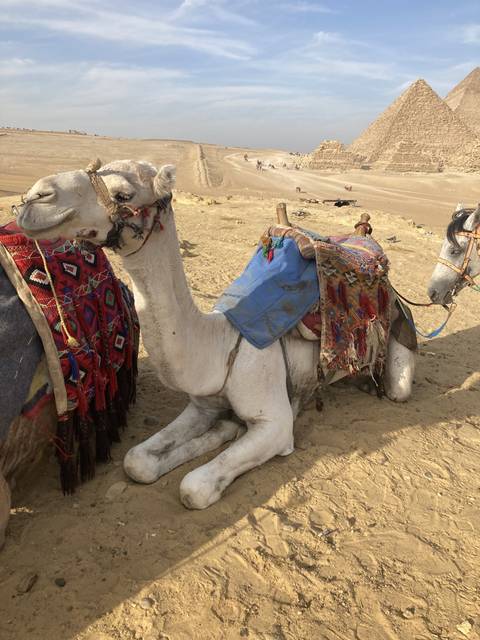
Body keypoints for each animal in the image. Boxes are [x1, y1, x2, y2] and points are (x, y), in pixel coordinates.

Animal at [16, 159, 416, 510]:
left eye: (123, 194)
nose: (35, 197)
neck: (220, 347)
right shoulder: (201, 404)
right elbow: (136, 461)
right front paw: (222, 431)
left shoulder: (275, 422)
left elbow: (193, 488)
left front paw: (227, 436)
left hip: (399, 334)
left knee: (398, 387)